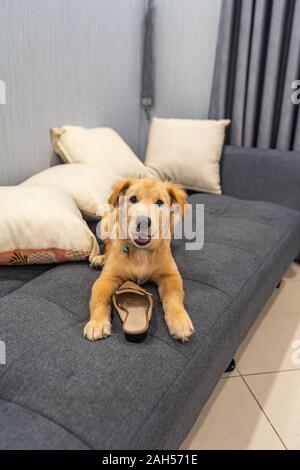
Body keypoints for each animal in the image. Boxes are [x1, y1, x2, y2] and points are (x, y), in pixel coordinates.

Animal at [84, 178, 195, 344]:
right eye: (133, 199)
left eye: (159, 202)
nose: (142, 222)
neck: (141, 252)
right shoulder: (107, 278)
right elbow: (99, 299)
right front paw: (97, 323)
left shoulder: (170, 275)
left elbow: (174, 298)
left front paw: (180, 321)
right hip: (105, 225)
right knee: (109, 245)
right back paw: (101, 258)